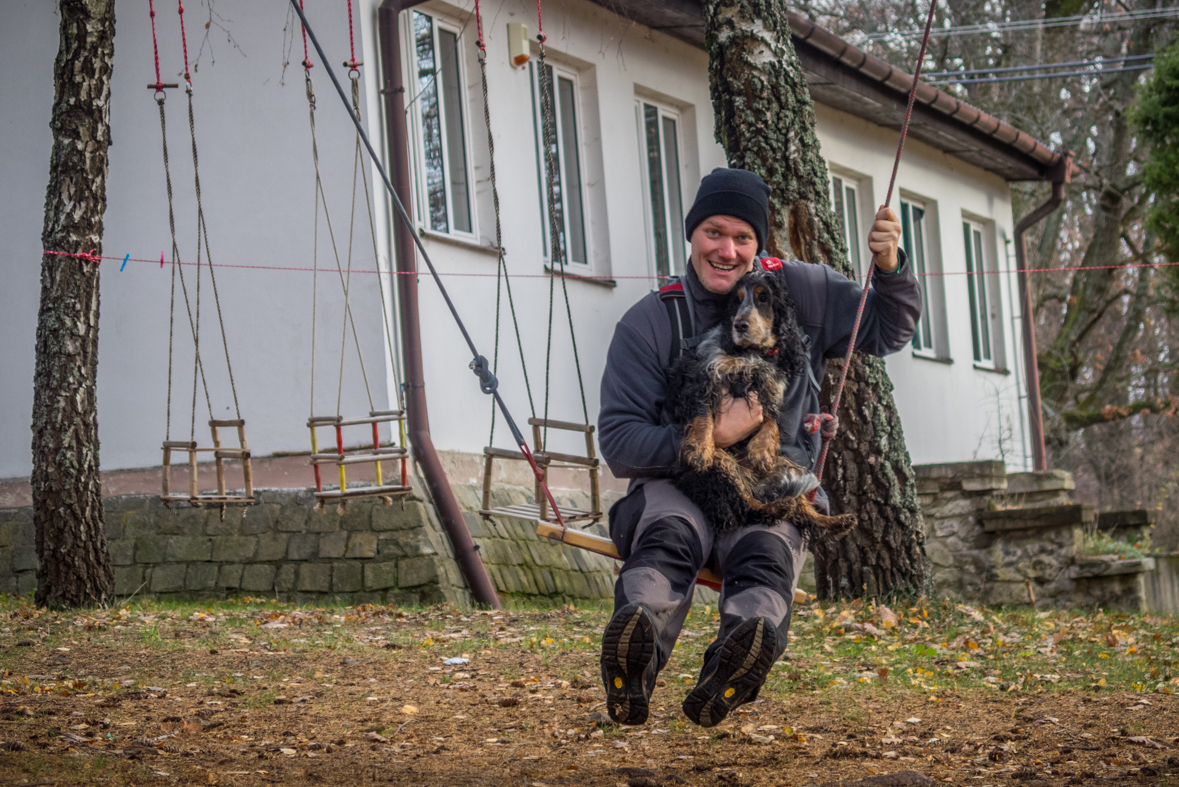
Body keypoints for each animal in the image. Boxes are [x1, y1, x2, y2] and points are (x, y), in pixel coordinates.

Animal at [669, 267, 853, 537]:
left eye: (763, 298)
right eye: (737, 301)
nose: (739, 325)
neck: (752, 353)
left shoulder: (769, 387)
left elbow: (771, 419)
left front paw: (761, 450)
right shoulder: (702, 375)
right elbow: (703, 412)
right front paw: (700, 447)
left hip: (787, 466)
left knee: (800, 510)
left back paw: (834, 520)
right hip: (723, 463)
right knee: (747, 505)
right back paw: (775, 508)